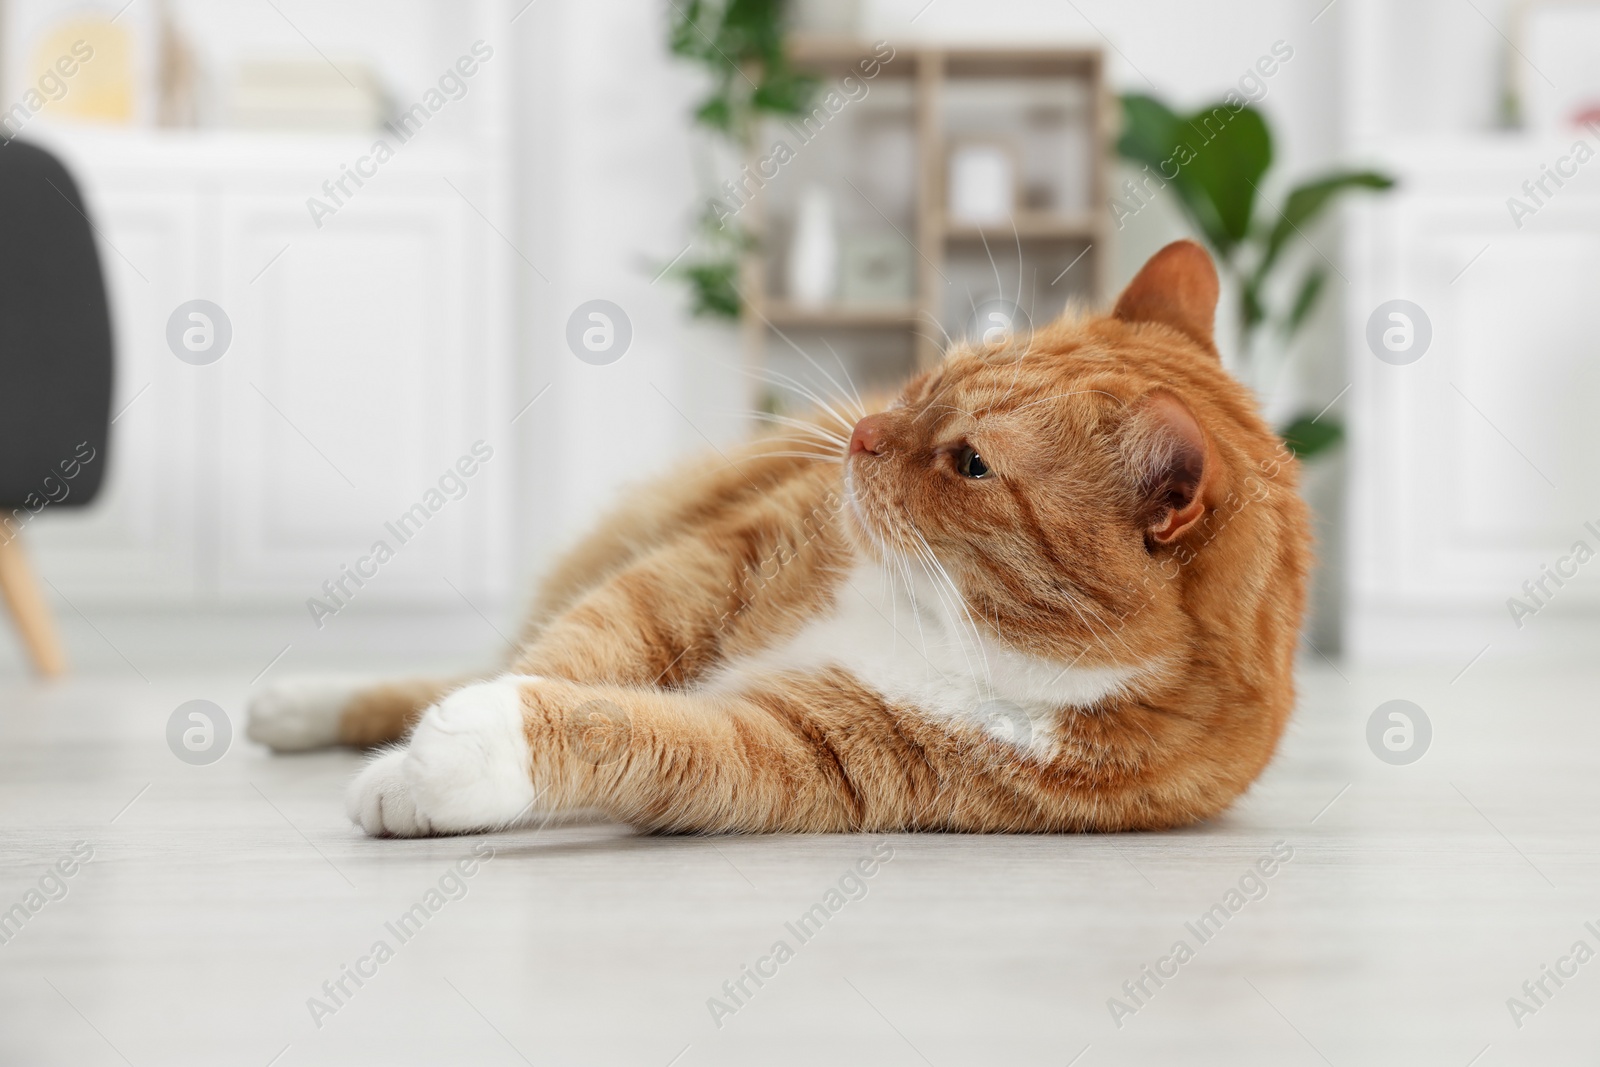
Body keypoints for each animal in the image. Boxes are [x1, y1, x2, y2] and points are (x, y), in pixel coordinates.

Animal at [243, 241, 1305, 831]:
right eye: (933, 377)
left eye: (970, 463)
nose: (865, 430)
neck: (942, 616)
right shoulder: (721, 557)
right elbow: (576, 650)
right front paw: (433, 747)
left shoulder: (811, 750)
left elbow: (649, 732)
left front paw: (460, 756)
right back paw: (301, 705)